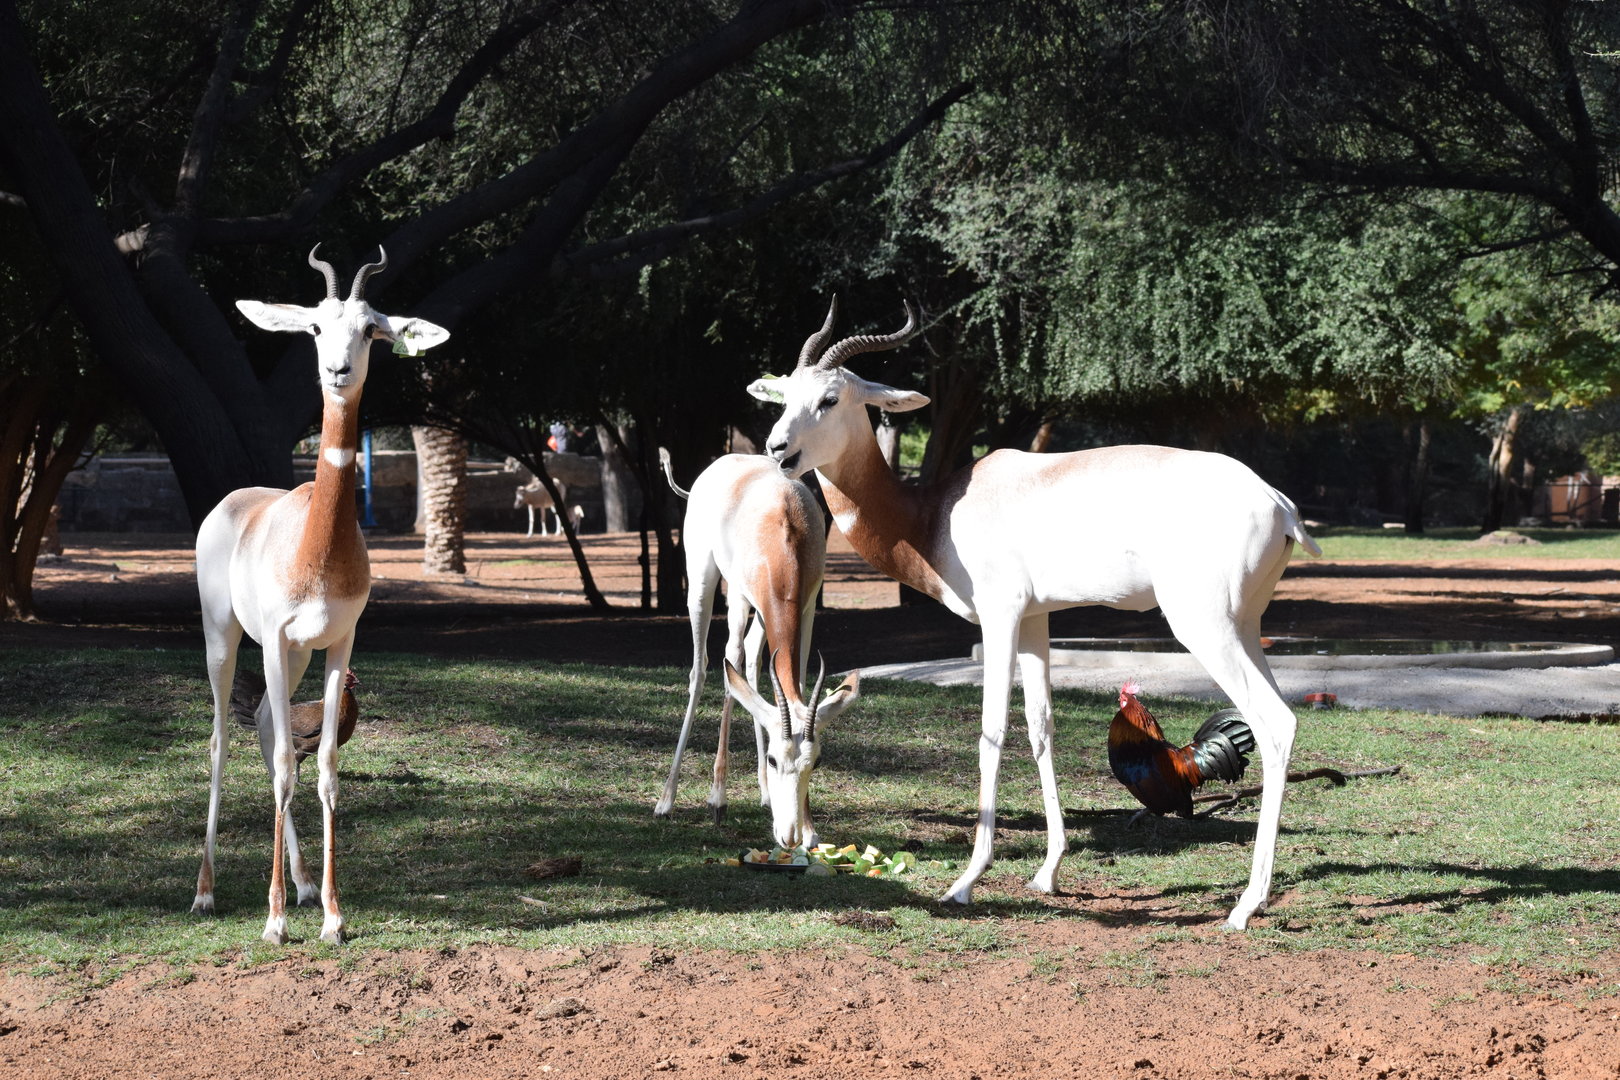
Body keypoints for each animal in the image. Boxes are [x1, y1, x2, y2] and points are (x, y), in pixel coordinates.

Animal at [193, 246, 449, 944]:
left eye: (372, 331)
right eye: (313, 327)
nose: (337, 371)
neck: (317, 548)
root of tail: (235, 501)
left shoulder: (339, 642)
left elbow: (326, 768)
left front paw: (332, 913)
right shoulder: (274, 640)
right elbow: (286, 762)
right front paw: (274, 920)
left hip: (297, 656)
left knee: (262, 728)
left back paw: (305, 884)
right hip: (226, 639)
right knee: (224, 739)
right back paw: (205, 892)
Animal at [654, 447, 860, 848]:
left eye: (816, 762)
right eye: (776, 760)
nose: (789, 835)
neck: (784, 531)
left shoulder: (806, 606)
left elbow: (792, 677)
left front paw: (810, 828)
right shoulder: (738, 594)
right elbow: (728, 663)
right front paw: (718, 798)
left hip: (764, 615)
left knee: (751, 662)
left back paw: (764, 794)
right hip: (704, 582)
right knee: (705, 667)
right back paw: (668, 801)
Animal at [748, 299, 1320, 929]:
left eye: (830, 398)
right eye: (784, 396)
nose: (777, 450)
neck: (933, 513)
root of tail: (1278, 503)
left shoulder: (998, 616)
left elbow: (992, 733)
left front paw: (965, 881)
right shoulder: (1035, 620)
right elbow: (1041, 726)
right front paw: (1048, 872)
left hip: (1205, 627)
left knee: (1274, 723)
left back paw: (1246, 905)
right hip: (1245, 627)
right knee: (1281, 718)